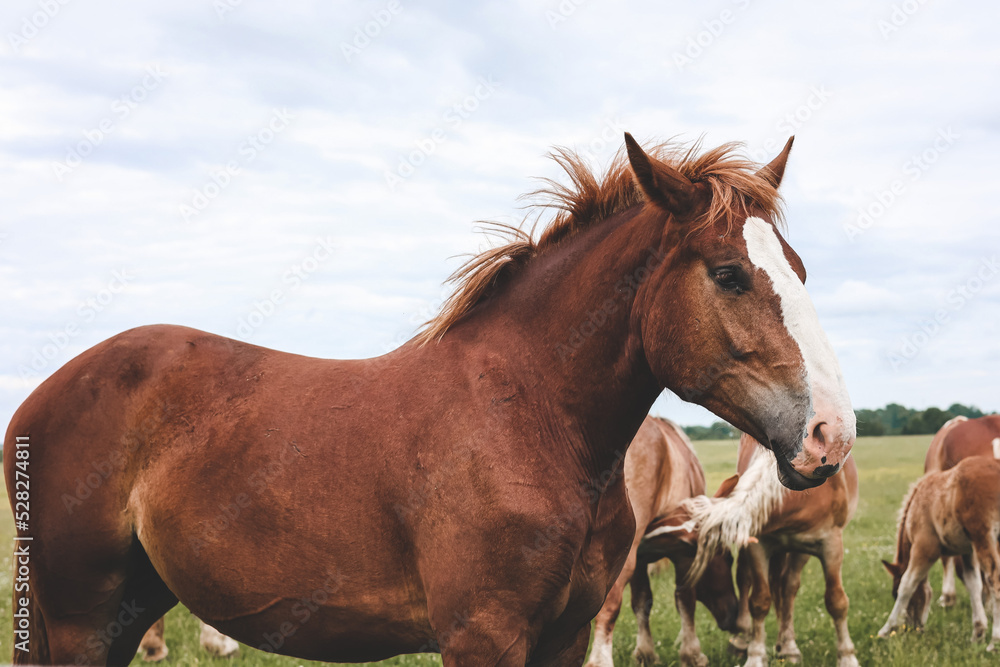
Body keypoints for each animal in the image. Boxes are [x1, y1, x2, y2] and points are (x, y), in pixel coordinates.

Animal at [583, 416, 738, 667]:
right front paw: (692, 653)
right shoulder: (683, 555)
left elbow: (641, 601)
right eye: (729, 558)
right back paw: (600, 659)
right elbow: (685, 599)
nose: (734, 613)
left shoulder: (641, 557)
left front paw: (646, 652)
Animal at [723, 434, 859, 667]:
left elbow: (837, 601)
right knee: (745, 578)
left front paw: (847, 656)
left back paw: (788, 647)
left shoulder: (831, 545)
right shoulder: (758, 545)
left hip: (799, 550)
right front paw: (756, 654)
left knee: (788, 586)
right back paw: (742, 641)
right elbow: (759, 601)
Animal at [879, 457, 1000, 650]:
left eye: (895, 594)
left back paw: (995, 642)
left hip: (984, 538)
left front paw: (885, 630)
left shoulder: (925, 547)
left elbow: (908, 583)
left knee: (994, 581)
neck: (918, 502)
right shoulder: (967, 552)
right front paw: (978, 633)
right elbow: (973, 584)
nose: (914, 629)